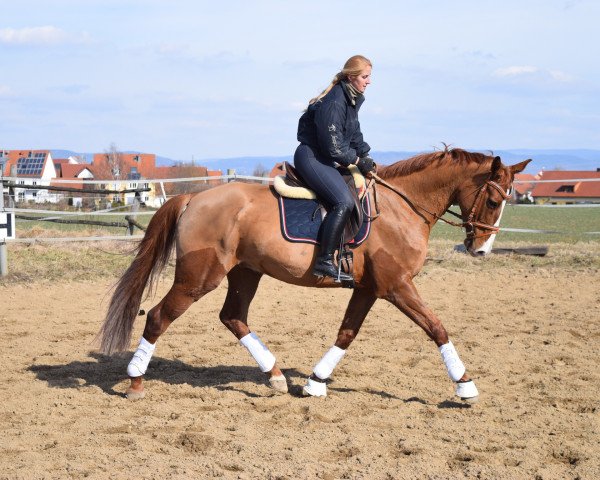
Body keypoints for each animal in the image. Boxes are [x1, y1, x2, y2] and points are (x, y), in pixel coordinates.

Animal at [97, 146, 528, 402]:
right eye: (493, 201)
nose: (481, 249)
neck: (401, 206)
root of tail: (194, 198)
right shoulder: (396, 286)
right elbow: (436, 327)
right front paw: (465, 385)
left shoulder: (369, 288)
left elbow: (346, 333)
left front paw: (315, 382)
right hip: (199, 277)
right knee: (159, 316)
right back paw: (135, 380)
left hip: (245, 273)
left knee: (233, 317)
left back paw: (274, 376)